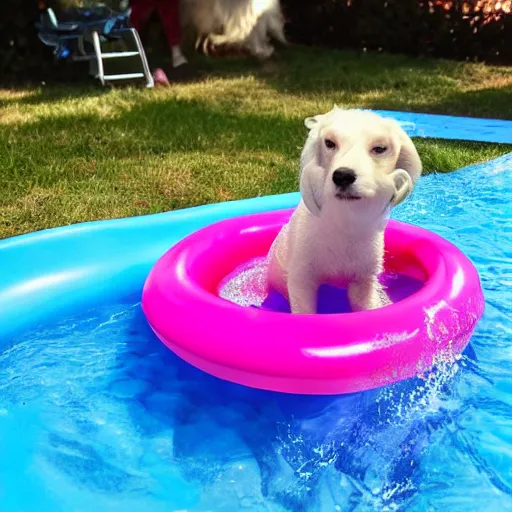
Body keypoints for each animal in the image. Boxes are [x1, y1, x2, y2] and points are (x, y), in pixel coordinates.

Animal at [266, 107, 422, 314]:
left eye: (380, 148)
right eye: (329, 143)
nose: (342, 176)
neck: (345, 219)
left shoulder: (363, 282)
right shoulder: (301, 278)